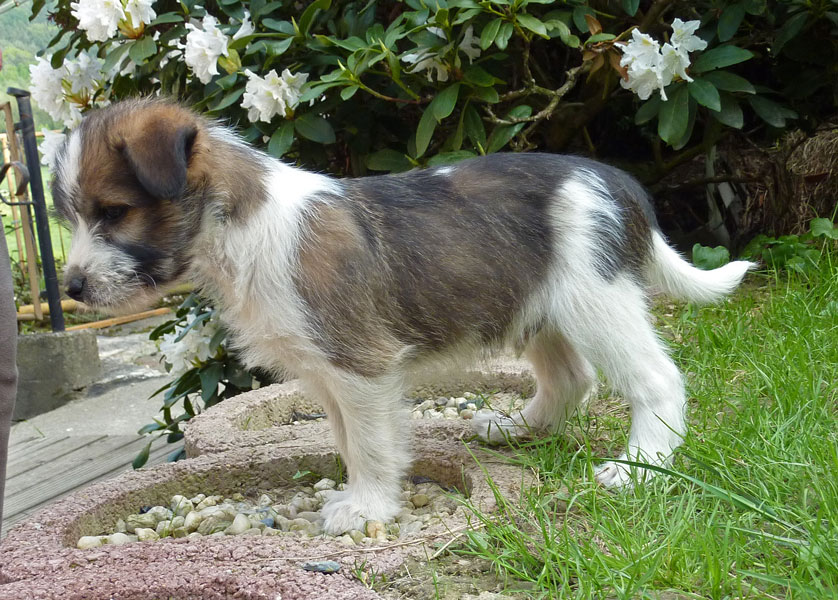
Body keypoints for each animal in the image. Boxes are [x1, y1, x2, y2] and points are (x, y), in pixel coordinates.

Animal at [52, 99, 754, 534]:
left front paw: (366, 508)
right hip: (540, 306)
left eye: (113, 212)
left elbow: (368, 443)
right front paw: (366, 497)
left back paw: (640, 467)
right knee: (569, 378)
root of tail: (625, 185)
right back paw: (518, 429)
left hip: (596, 302)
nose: (72, 286)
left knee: (656, 380)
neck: (241, 226)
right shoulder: (328, 376)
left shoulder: (358, 367)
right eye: (74, 217)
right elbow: (350, 441)